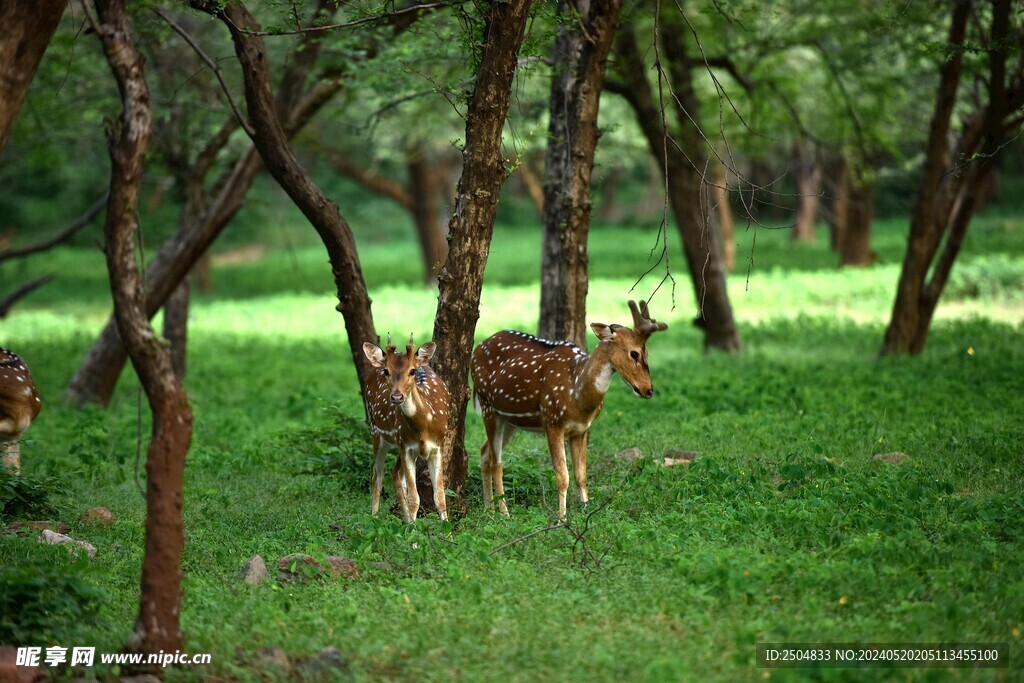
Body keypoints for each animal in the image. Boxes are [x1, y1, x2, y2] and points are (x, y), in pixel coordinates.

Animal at [362, 334, 449, 523]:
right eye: (386, 371)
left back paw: (406, 520)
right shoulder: (407, 447)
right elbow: (414, 498)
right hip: (377, 432)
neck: (424, 427)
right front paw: (413, 531)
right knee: (377, 477)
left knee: (395, 475)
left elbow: (440, 497)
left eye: (413, 371)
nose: (396, 397)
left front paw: (447, 528)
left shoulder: (438, 446)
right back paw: (374, 518)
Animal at [471, 300, 668, 520]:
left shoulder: (581, 429)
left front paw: (586, 510)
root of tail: (476, 350)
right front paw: (562, 518)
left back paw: (489, 509)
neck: (578, 396)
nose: (648, 390)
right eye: (634, 353)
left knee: (485, 452)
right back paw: (504, 513)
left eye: (647, 353)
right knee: (496, 462)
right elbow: (562, 476)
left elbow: (581, 475)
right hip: (488, 406)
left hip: (510, 419)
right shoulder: (552, 421)